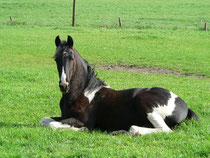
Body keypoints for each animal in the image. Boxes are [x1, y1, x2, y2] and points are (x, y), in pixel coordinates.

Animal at [40, 35, 199, 136]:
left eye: (71, 57)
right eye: (56, 59)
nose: (64, 85)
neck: (83, 92)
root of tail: (183, 104)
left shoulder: (82, 121)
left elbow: (53, 125)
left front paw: (83, 130)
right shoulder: (64, 116)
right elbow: (45, 120)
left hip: (145, 103)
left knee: (164, 130)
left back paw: (135, 131)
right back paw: (119, 132)